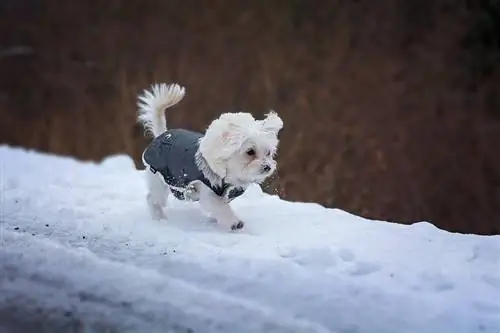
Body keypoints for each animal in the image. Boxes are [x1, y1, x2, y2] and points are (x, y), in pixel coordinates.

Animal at [137, 81, 284, 230]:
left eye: (268, 152)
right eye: (250, 152)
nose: (267, 167)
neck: (228, 174)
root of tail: (161, 134)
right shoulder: (208, 193)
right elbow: (220, 208)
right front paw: (234, 222)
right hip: (160, 180)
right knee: (152, 199)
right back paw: (159, 217)